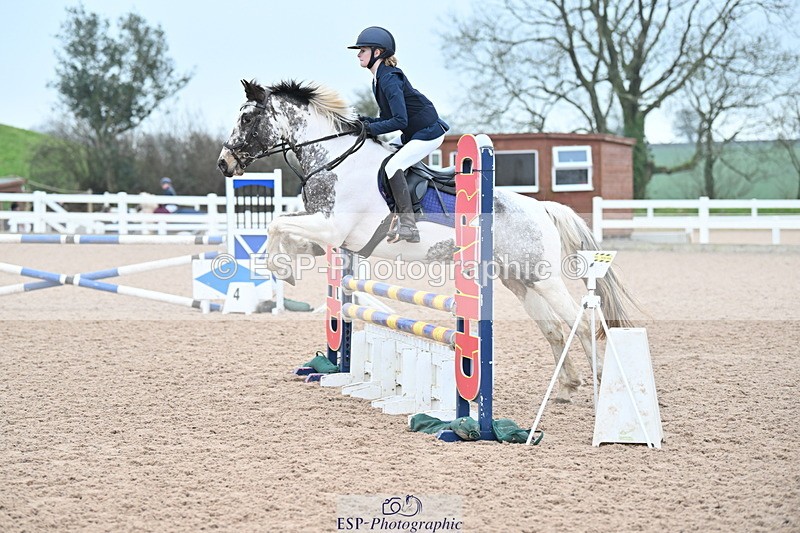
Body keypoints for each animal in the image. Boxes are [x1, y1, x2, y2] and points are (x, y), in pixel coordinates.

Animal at [217, 79, 637, 402]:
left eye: (247, 117)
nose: (224, 163)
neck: (335, 160)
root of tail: (543, 208)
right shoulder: (326, 237)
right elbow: (279, 227)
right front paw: (283, 268)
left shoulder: (331, 230)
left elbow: (275, 226)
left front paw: (281, 270)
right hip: (518, 279)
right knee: (552, 329)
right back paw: (566, 387)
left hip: (543, 277)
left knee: (580, 324)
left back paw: (601, 384)